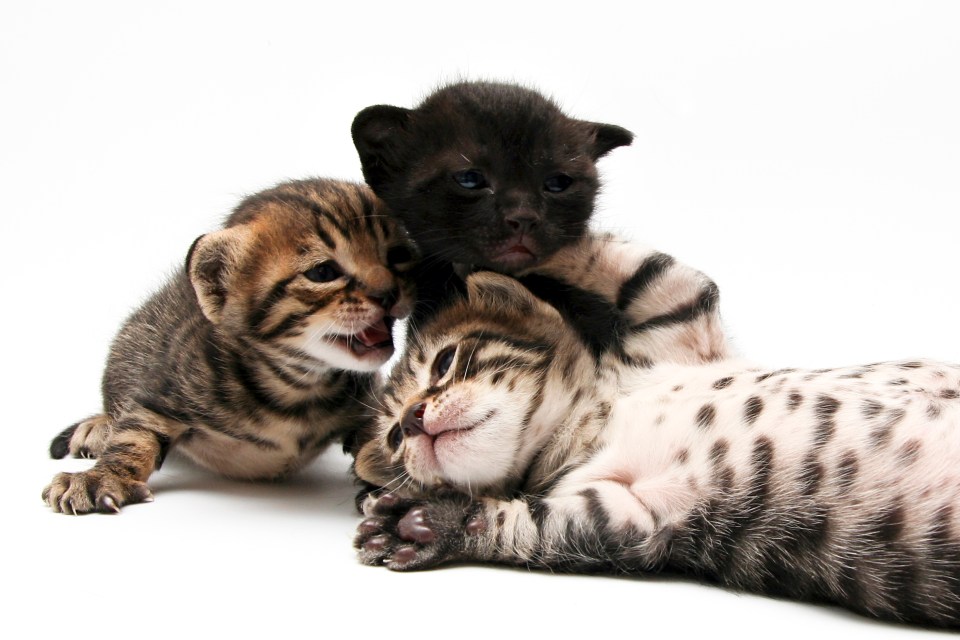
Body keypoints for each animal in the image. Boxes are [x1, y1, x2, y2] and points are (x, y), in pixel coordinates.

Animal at [43, 176, 416, 516]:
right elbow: (133, 436)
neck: (298, 386)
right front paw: (101, 477)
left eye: (397, 256)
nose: (388, 292)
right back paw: (98, 426)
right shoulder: (166, 391)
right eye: (323, 272)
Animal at [356, 272, 960, 628]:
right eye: (392, 438)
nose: (411, 420)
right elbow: (530, 525)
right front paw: (430, 525)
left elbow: (633, 265)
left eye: (445, 361)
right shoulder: (635, 517)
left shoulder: (677, 321)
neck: (590, 423)